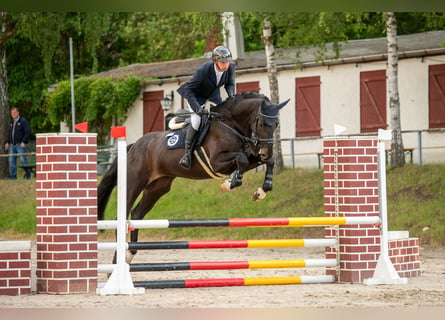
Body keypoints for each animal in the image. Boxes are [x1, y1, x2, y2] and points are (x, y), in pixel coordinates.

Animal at [98, 91, 288, 262]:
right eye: (262, 123)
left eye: (277, 123)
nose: (265, 151)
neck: (232, 126)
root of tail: (133, 146)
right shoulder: (216, 163)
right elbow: (241, 159)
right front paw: (231, 182)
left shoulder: (250, 157)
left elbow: (266, 161)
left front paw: (261, 191)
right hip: (134, 183)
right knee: (123, 215)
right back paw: (118, 259)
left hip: (158, 187)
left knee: (137, 214)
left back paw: (130, 253)